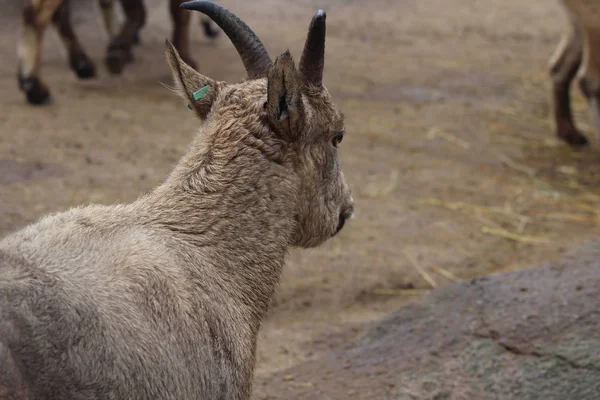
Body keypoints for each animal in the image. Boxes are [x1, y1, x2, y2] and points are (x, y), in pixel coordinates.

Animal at [17, 0, 220, 105]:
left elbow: (136, 12)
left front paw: (119, 48)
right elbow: (178, 14)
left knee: (55, 13)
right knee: (36, 13)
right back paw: (35, 85)